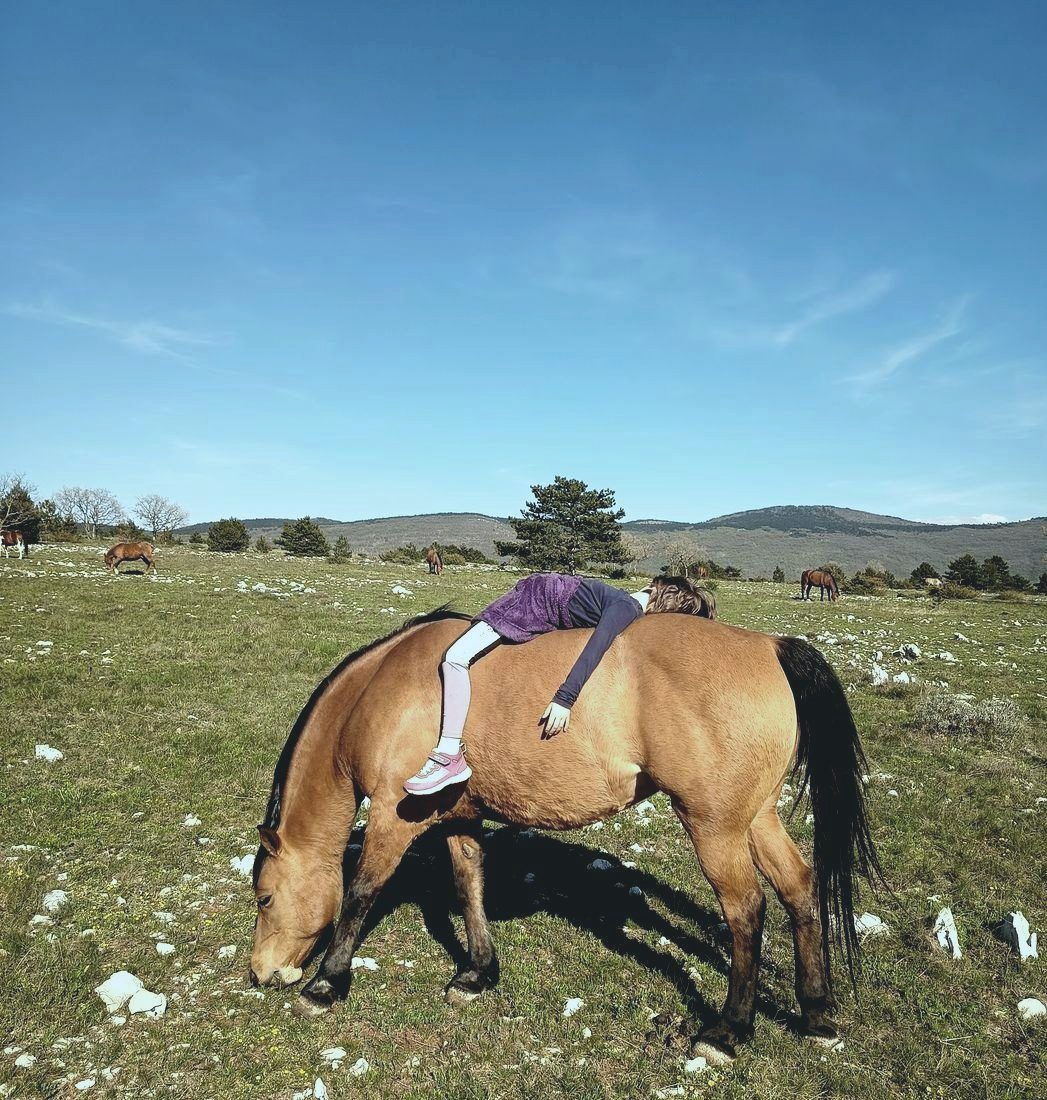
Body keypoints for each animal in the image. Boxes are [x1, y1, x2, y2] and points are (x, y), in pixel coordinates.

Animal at [249, 607, 879, 1065]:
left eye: (264, 897)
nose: (260, 973)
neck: (382, 691)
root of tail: (767, 644)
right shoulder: (458, 817)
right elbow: (468, 884)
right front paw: (477, 973)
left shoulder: (393, 819)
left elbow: (360, 893)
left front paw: (327, 984)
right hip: (756, 818)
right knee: (799, 889)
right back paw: (816, 1013)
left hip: (714, 826)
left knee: (746, 908)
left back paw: (727, 1030)